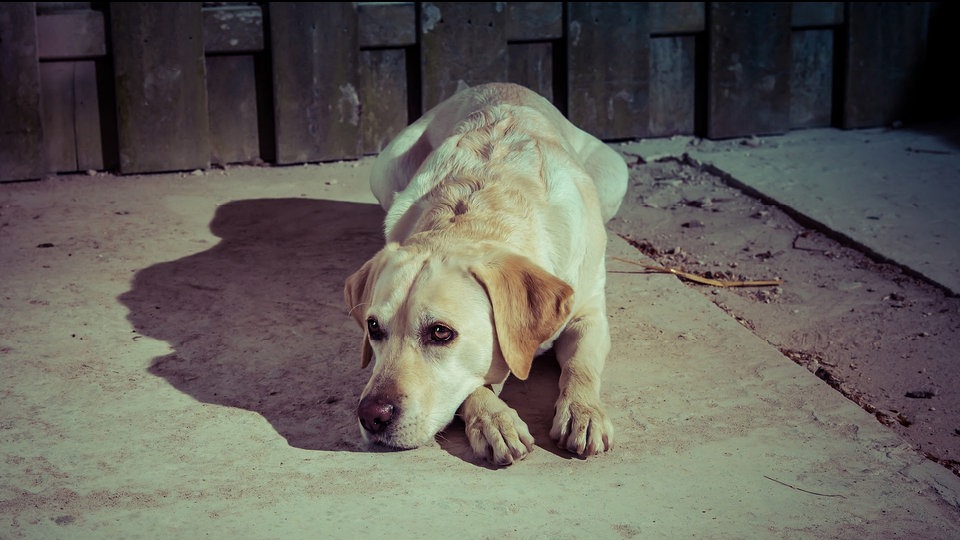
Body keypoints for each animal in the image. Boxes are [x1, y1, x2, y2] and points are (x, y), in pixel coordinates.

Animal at [344, 82, 632, 466]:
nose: (371, 416)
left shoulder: (589, 312)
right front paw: (494, 419)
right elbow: (473, 386)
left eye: (440, 332)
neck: (478, 212)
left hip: (616, 173)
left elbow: (581, 364)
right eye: (373, 327)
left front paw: (582, 412)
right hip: (384, 169)